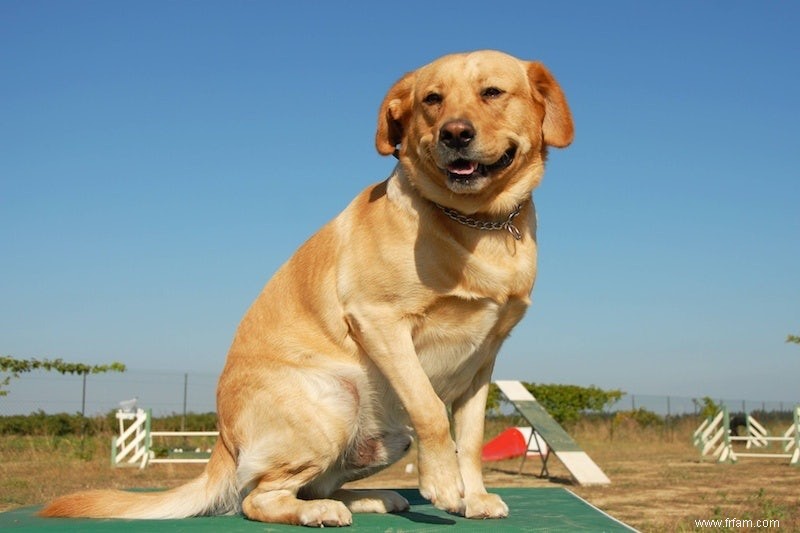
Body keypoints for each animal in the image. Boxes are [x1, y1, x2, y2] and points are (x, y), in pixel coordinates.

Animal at [40, 48, 572, 524]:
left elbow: (473, 438)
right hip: (337, 399)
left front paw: (475, 497)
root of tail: (224, 442)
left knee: (314, 484)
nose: (455, 134)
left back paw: (370, 498)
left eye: (492, 92)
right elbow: (431, 412)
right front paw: (443, 486)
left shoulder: (483, 359)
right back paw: (322, 511)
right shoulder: (379, 320)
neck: (478, 224)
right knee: (257, 499)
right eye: (432, 100)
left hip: (380, 433)